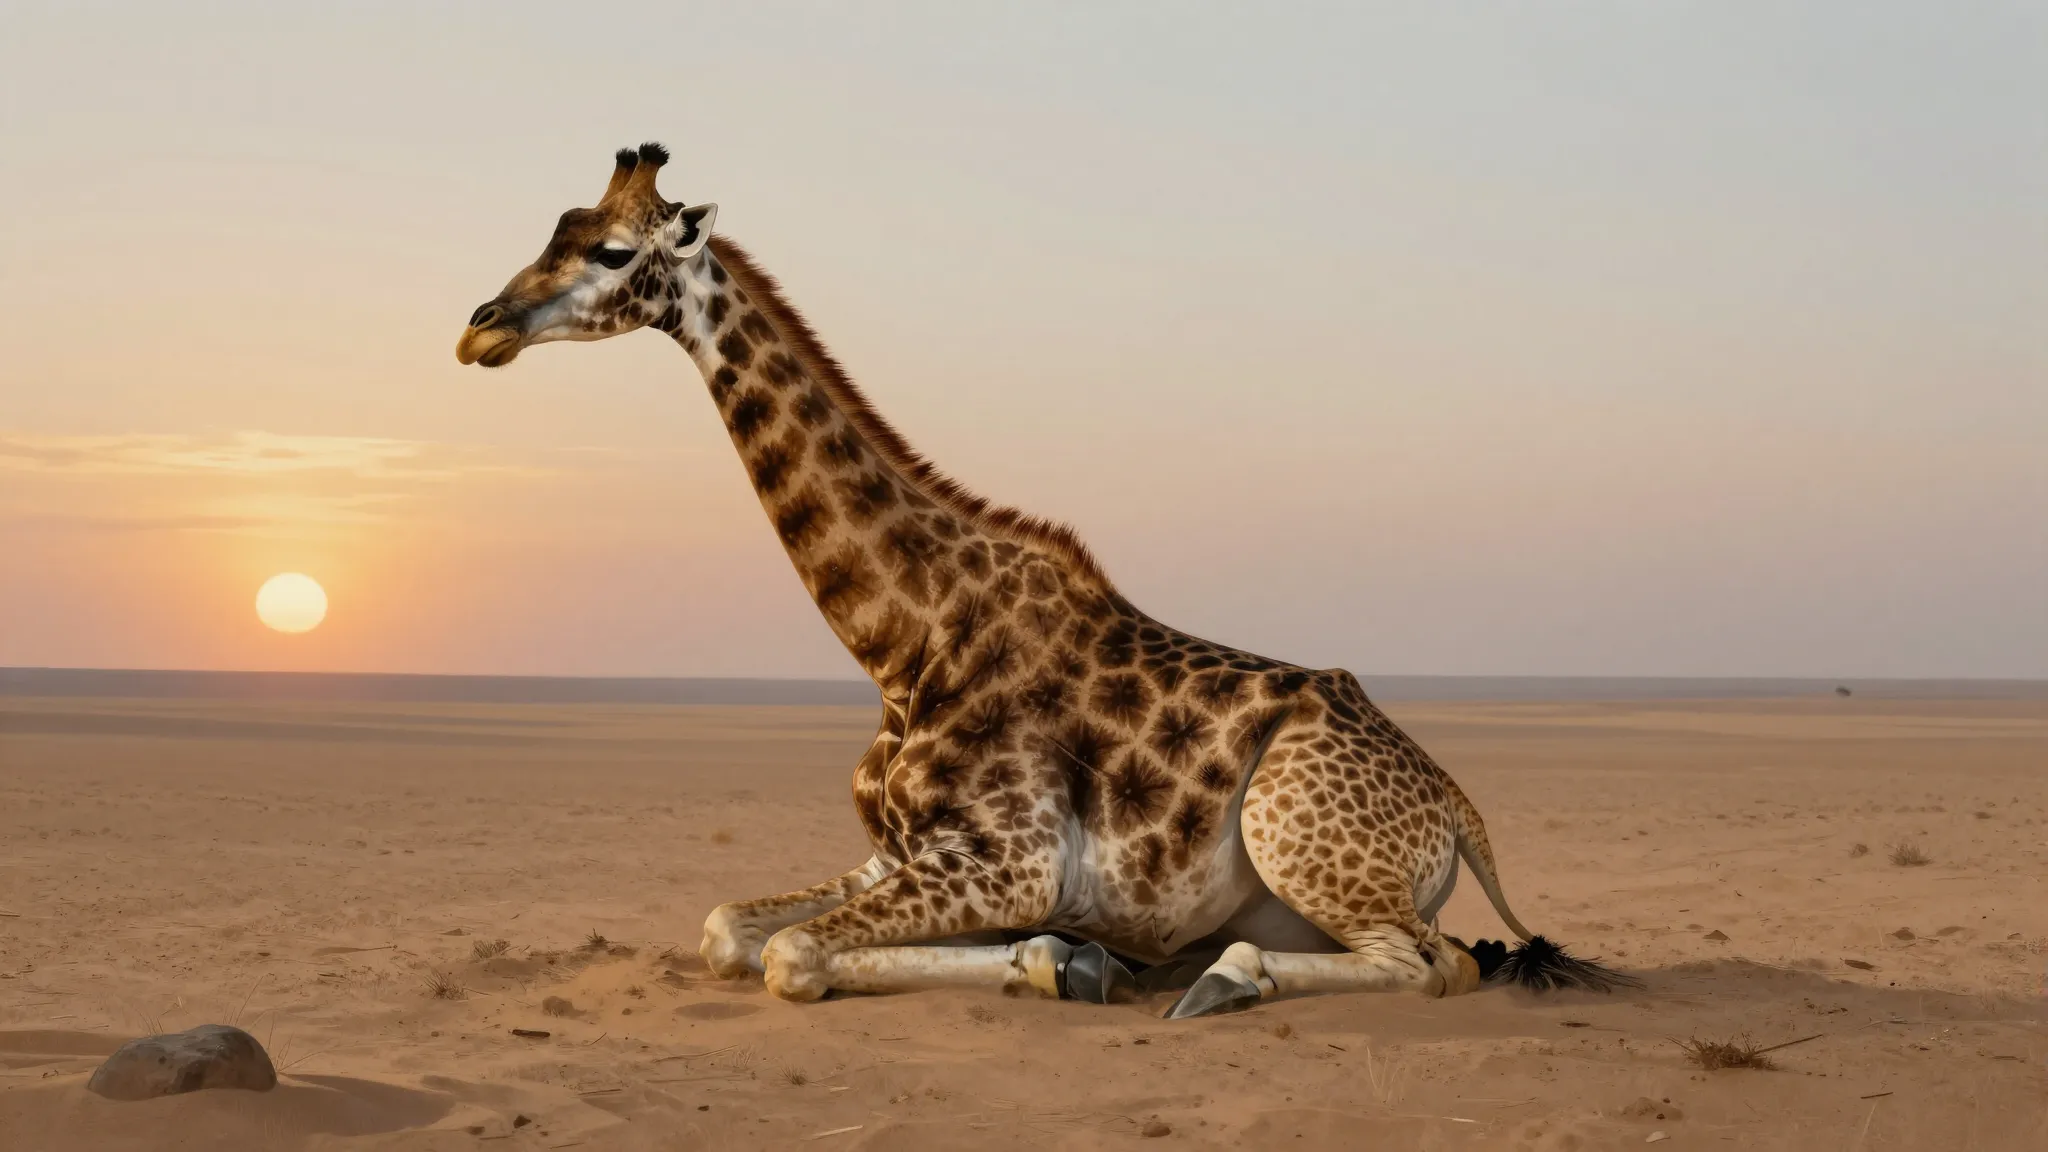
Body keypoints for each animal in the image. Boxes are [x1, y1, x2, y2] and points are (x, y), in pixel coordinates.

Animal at [455, 144, 1634, 1016]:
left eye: (611, 250)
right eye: (550, 230)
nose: (481, 329)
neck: (901, 642)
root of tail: (1456, 803)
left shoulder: (1009, 858)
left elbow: (794, 955)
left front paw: (1064, 959)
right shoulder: (896, 856)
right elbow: (729, 934)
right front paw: (1065, 958)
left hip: (1302, 839)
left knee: (1437, 964)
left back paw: (1219, 981)